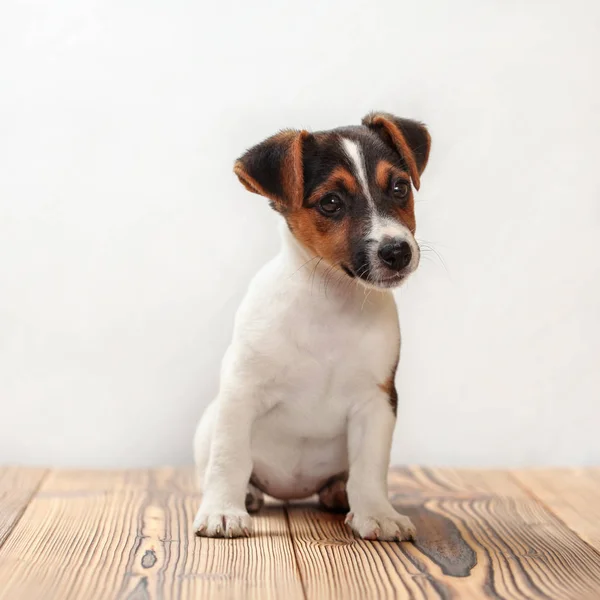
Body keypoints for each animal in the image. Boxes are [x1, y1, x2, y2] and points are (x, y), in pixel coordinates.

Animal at [192, 110, 432, 540]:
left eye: (400, 187)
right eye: (331, 202)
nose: (397, 251)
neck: (331, 303)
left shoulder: (376, 402)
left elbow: (370, 468)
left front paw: (377, 513)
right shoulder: (240, 392)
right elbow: (229, 458)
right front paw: (222, 511)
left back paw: (339, 493)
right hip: (208, 423)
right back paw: (246, 495)